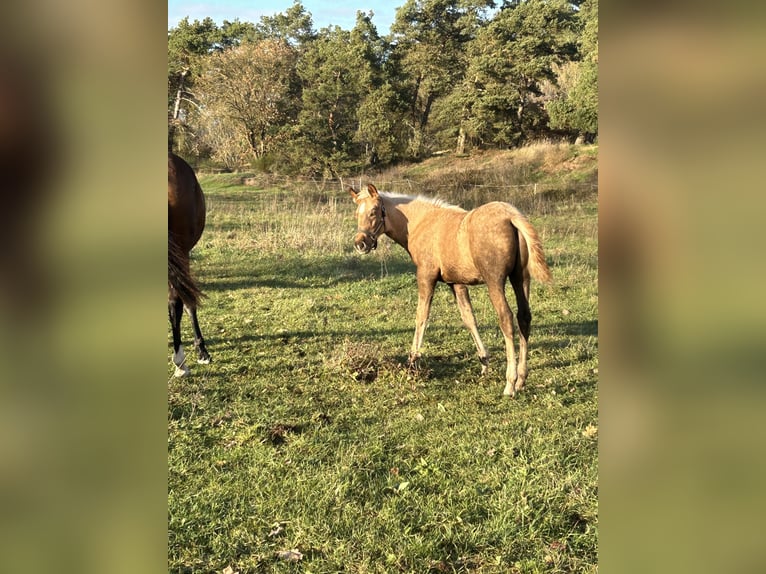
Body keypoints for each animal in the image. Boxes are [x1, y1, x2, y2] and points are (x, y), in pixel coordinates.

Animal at [352, 183, 556, 396]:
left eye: (373, 212)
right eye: (356, 213)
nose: (360, 243)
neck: (421, 223)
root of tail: (510, 216)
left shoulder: (426, 276)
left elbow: (421, 316)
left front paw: (413, 361)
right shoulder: (456, 283)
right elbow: (469, 318)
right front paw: (484, 361)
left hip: (495, 282)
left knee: (506, 319)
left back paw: (510, 383)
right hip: (520, 279)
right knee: (524, 317)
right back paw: (521, 379)